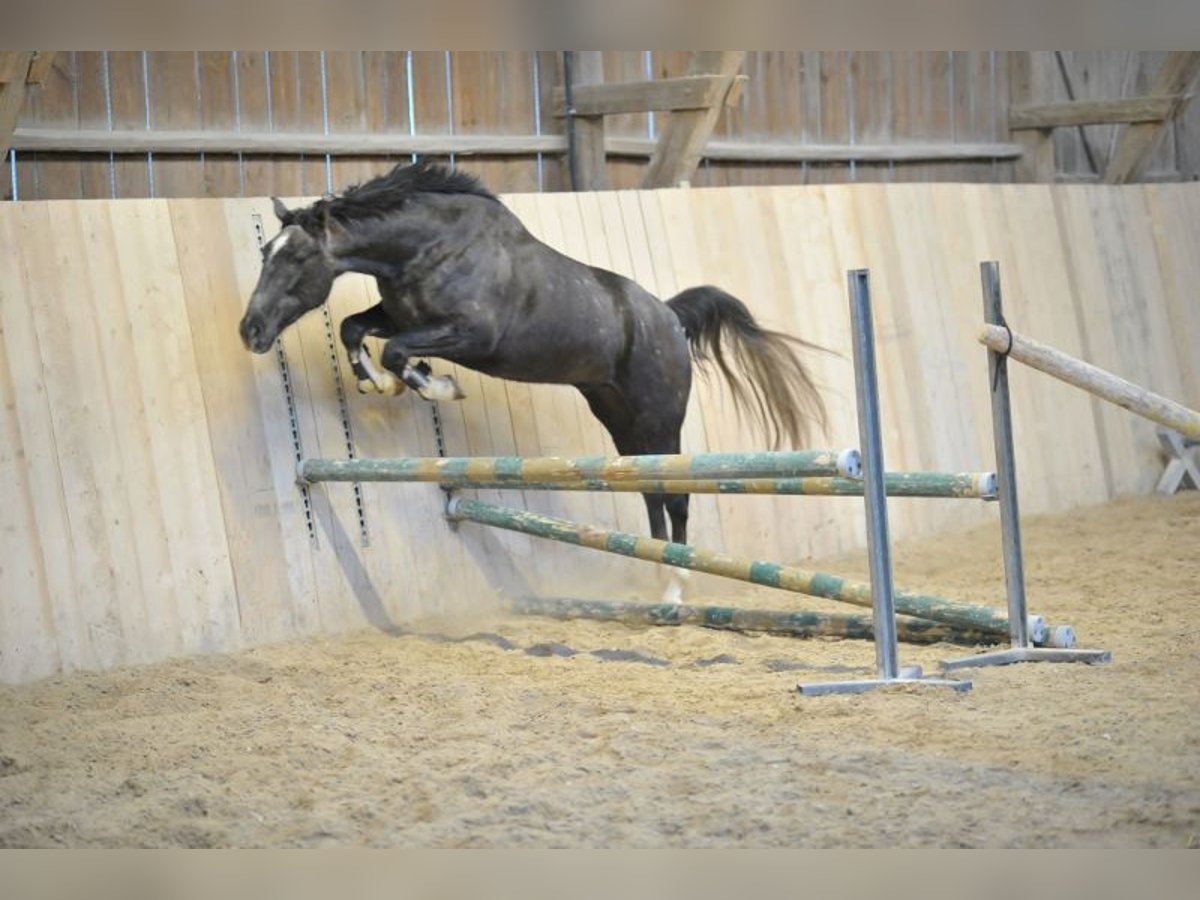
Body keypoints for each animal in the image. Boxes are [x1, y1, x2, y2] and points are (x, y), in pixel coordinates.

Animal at [240, 160, 830, 547]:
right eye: (265, 252)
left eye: (297, 261)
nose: (250, 331)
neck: (430, 248)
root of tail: (668, 316)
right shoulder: (402, 315)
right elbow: (353, 328)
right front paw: (377, 383)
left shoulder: (471, 336)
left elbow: (396, 352)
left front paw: (436, 385)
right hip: (617, 415)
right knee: (649, 490)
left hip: (659, 418)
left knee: (675, 493)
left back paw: (680, 581)